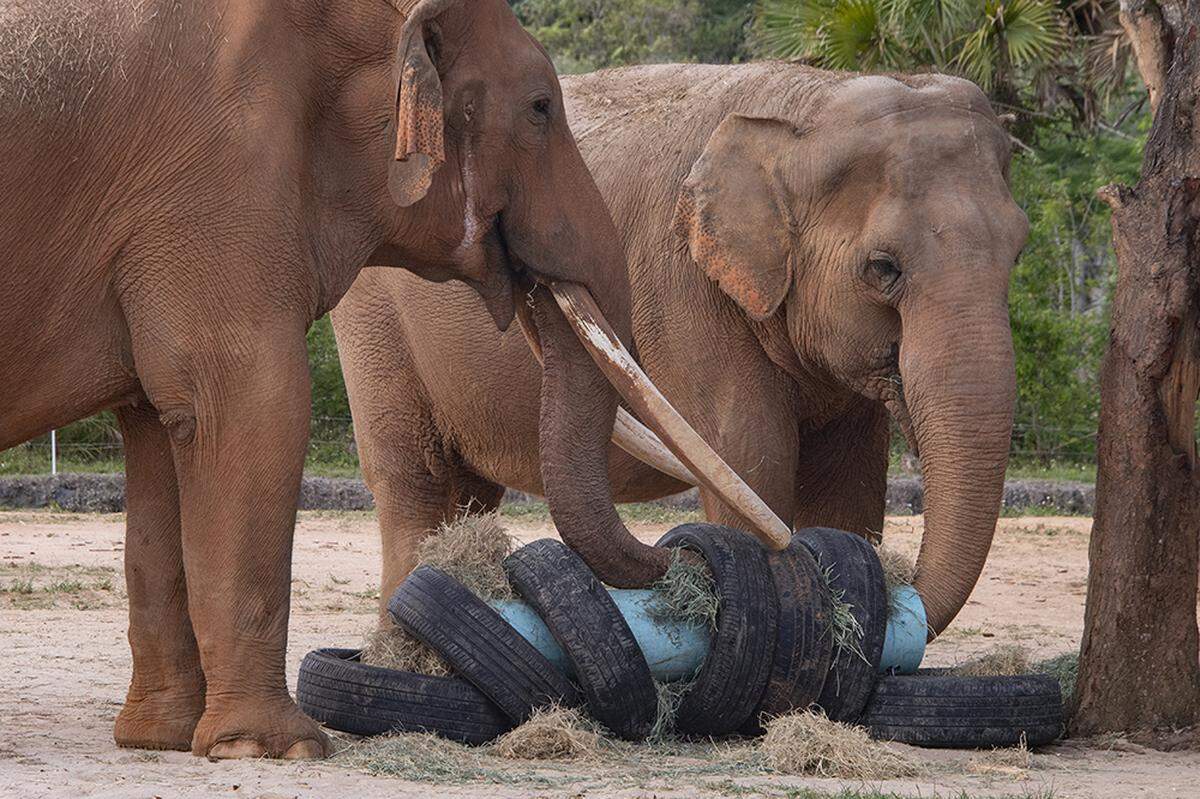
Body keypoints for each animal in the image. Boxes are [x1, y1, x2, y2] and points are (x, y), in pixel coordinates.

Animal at [1, 1, 760, 760]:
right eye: (541, 108)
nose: (686, 555)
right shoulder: (215, 183)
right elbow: (252, 408)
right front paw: (275, 748)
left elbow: (161, 432)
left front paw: (163, 739)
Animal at [333, 62, 1029, 639]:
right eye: (883, 269)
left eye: (1018, 256)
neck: (806, 103)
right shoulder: (684, 287)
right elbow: (751, 460)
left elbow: (848, 489)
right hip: (373, 318)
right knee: (415, 481)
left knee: (470, 494)